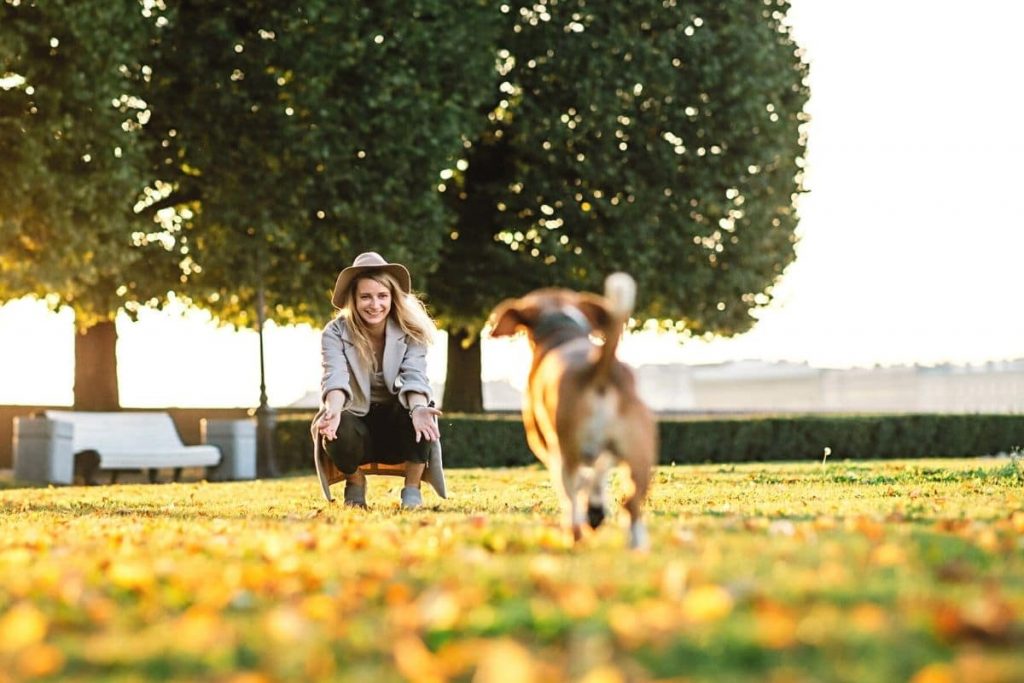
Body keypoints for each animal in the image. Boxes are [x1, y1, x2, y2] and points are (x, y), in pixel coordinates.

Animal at [491, 272, 659, 548]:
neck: (563, 330)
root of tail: (598, 368)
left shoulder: (549, 447)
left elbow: (582, 484)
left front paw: (593, 511)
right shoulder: (607, 453)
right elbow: (598, 476)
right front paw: (597, 509)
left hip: (566, 451)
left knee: (572, 496)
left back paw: (575, 533)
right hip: (640, 455)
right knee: (631, 503)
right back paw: (634, 543)